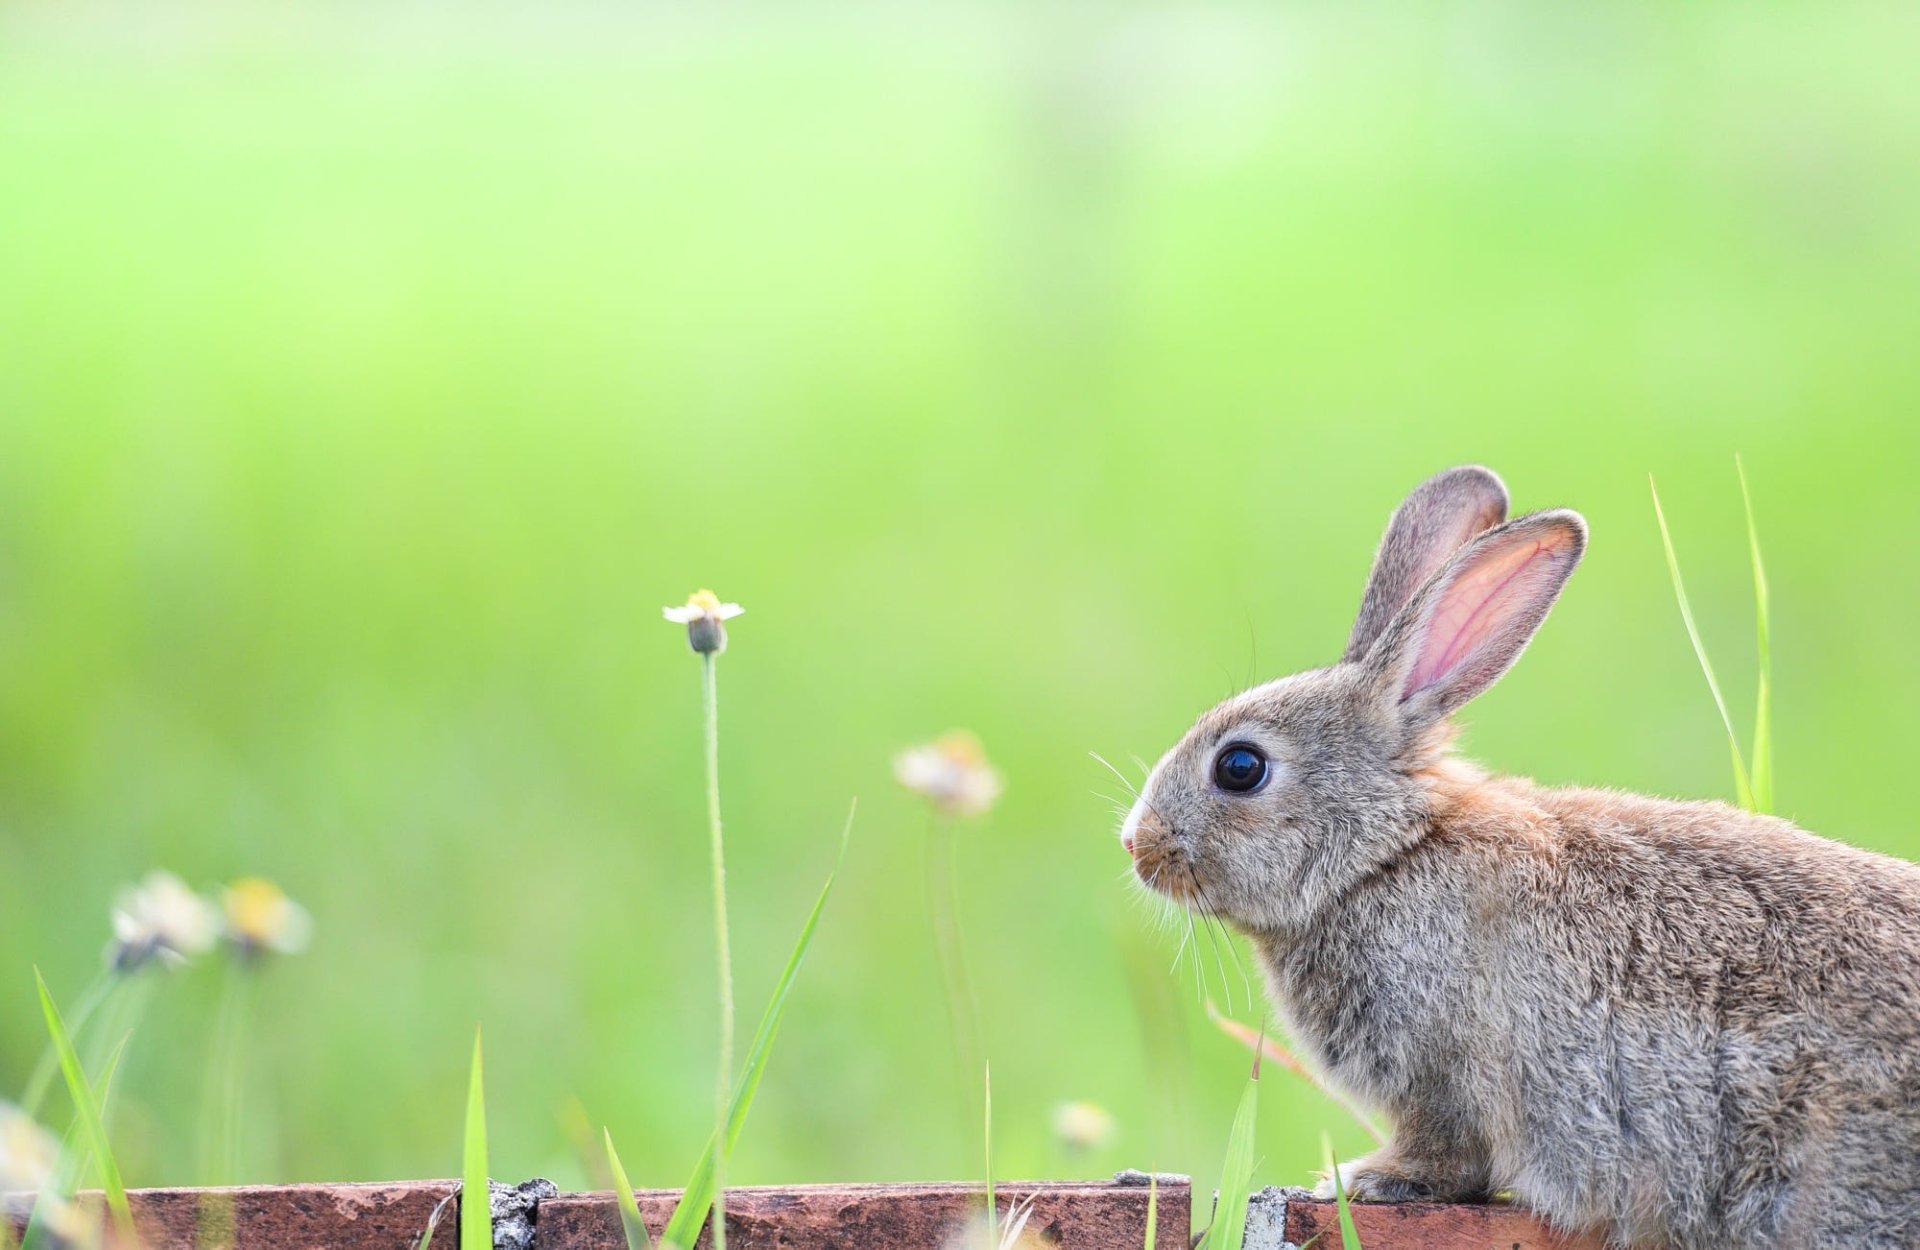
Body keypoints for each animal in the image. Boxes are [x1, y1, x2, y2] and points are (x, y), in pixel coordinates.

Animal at [1120, 466, 1920, 1249]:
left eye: (1241, 767)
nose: (1138, 844)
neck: (1384, 855)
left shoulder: (1445, 1077)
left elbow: (1447, 1156)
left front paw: (1362, 1180)